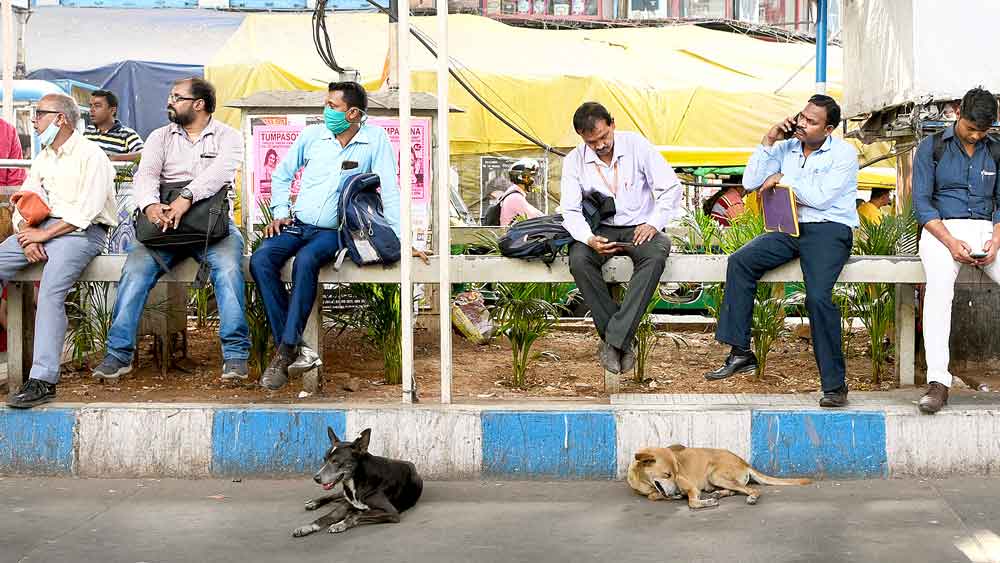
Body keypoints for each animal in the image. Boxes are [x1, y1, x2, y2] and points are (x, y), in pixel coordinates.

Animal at [294, 428, 424, 536]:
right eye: (324, 459)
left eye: (336, 461)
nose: (316, 478)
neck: (357, 480)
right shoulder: (346, 504)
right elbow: (328, 516)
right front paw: (308, 526)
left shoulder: (391, 512)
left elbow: (357, 514)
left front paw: (341, 523)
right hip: (343, 494)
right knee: (333, 495)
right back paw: (313, 503)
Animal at [628, 446, 808, 512]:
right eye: (667, 475)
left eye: (676, 473)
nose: (678, 491)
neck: (644, 480)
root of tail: (744, 462)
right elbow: (653, 496)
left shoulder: (691, 487)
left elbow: (692, 503)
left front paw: (704, 502)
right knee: (735, 490)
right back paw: (718, 494)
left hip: (714, 475)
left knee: (752, 489)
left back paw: (751, 498)